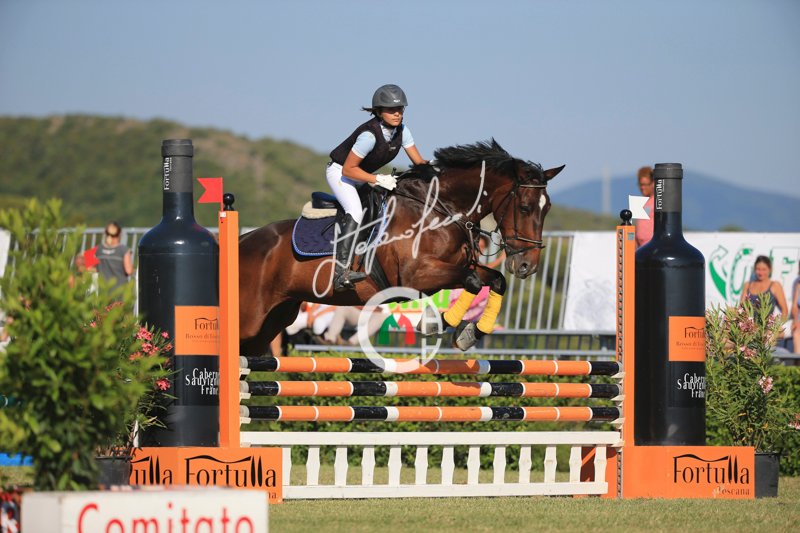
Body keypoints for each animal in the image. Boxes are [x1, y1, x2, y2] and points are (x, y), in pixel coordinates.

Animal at [238, 139, 563, 356]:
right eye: (524, 207)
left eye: (547, 209)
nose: (527, 266)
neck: (439, 210)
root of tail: (244, 240)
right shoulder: (415, 277)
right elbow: (471, 282)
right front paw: (437, 324)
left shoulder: (456, 268)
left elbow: (495, 280)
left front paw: (469, 334)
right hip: (251, 318)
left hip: (275, 318)